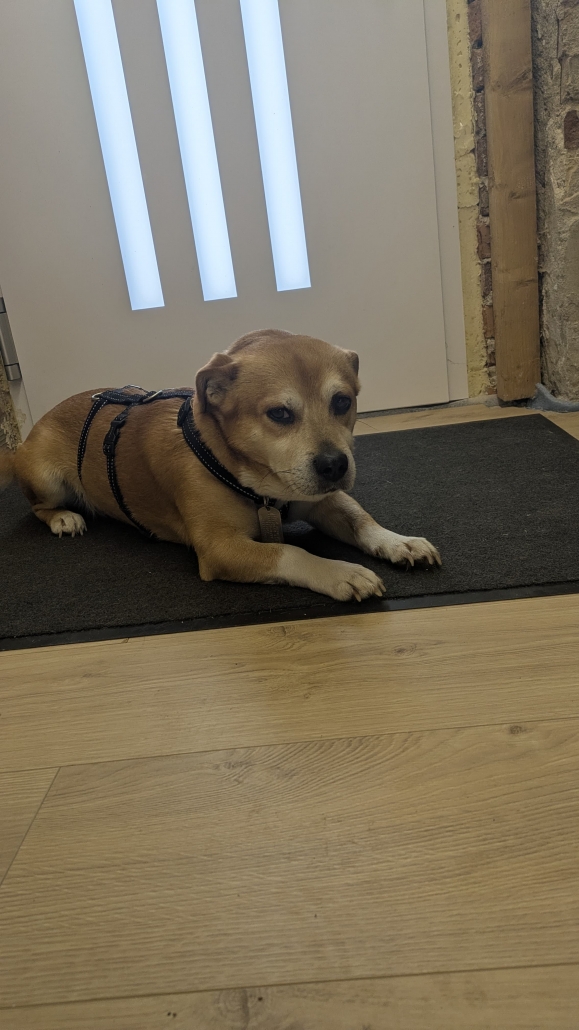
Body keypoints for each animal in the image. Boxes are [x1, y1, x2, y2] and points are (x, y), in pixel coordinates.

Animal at [0, 329, 440, 600]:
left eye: (343, 401)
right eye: (279, 413)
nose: (334, 465)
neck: (261, 486)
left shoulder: (322, 500)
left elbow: (360, 519)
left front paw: (398, 542)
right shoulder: (220, 548)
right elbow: (291, 553)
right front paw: (340, 572)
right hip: (45, 478)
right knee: (39, 507)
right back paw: (64, 517)